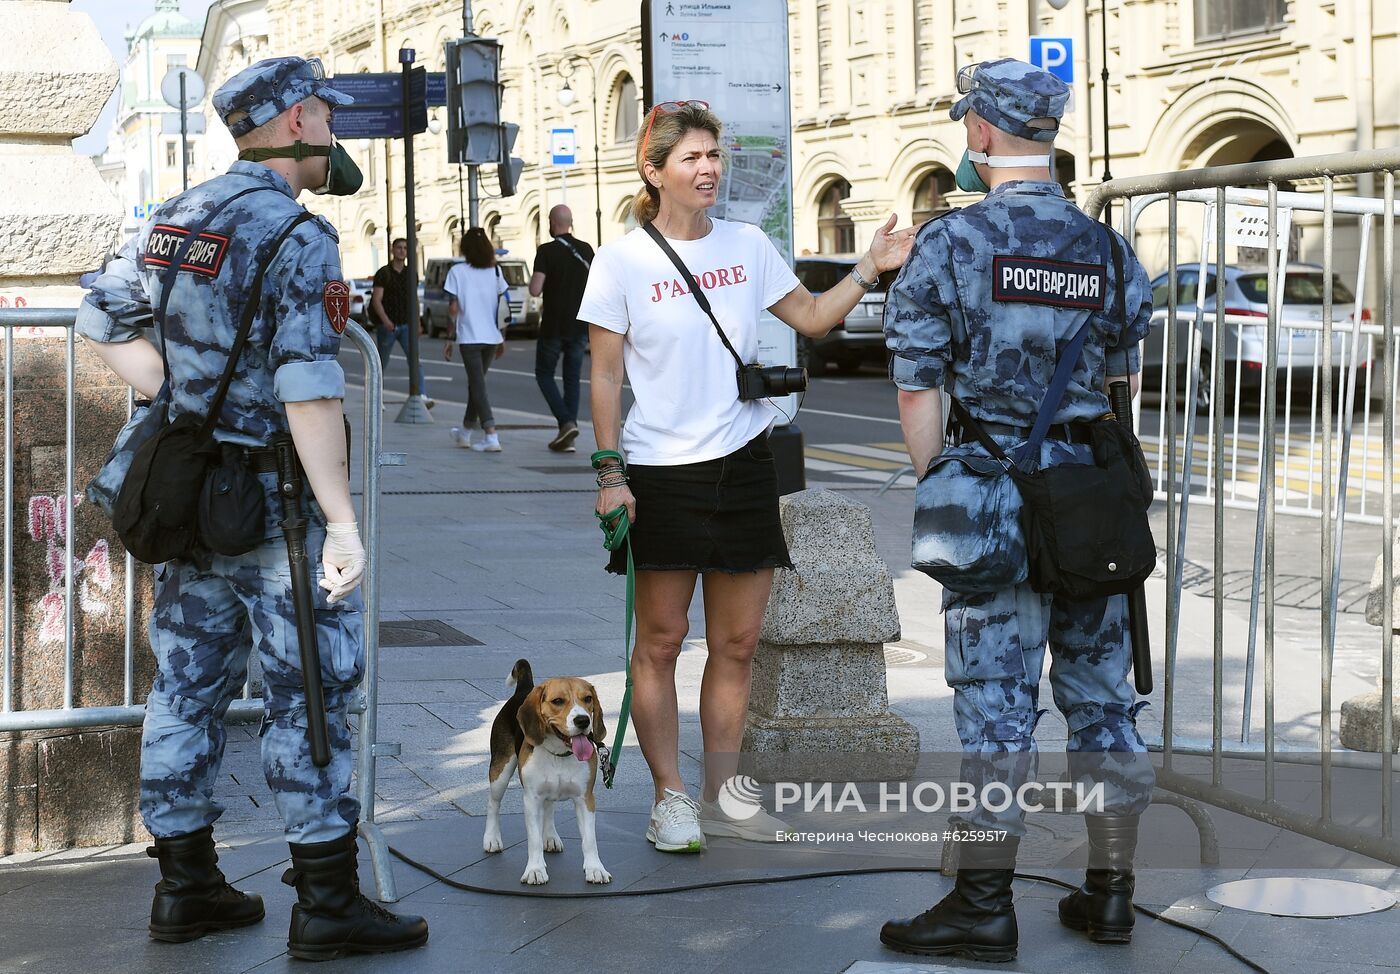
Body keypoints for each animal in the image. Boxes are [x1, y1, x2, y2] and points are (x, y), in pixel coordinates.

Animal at [484, 657, 610, 884]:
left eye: (587, 699)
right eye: (558, 701)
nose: (583, 720)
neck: (559, 755)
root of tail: (525, 688)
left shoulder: (585, 799)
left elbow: (590, 840)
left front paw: (595, 868)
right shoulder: (531, 800)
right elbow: (533, 840)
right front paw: (535, 870)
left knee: (549, 807)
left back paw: (550, 837)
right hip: (500, 771)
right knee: (493, 804)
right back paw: (491, 839)